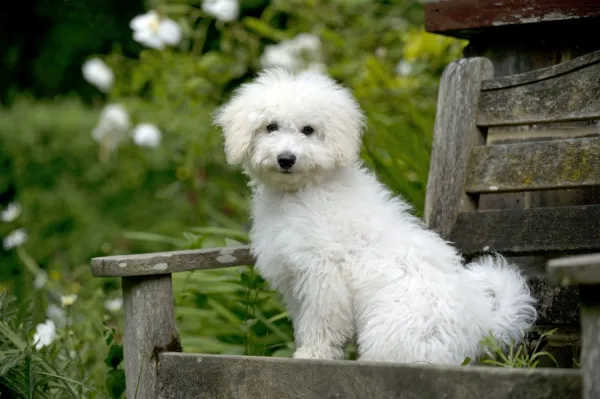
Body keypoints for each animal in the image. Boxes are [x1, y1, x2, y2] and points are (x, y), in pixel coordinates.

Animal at [216, 69, 540, 366]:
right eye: (270, 127)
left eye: (308, 130)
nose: (286, 159)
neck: (302, 192)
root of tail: (481, 325)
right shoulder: (294, 277)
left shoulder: (323, 271)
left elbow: (322, 318)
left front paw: (314, 353)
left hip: (394, 329)